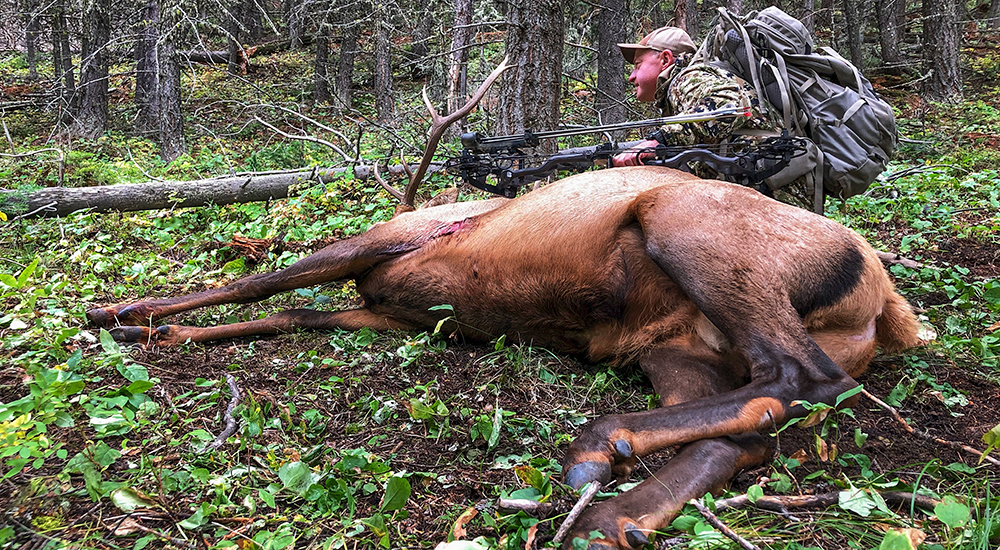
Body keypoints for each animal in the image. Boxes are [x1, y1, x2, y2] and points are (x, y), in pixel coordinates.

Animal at [88, 166, 920, 548]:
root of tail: (887, 303)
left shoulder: (385, 243)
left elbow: (259, 281)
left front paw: (123, 311)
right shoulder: (387, 309)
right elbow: (288, 311)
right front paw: (151, 330)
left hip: (685, 225)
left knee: (804, 377)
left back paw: (596, 446)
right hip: (675, 348)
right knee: (748, 429)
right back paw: (612, 512)